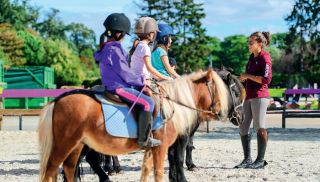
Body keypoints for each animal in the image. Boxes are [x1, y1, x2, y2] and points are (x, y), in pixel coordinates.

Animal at [38, 69, 229, 181]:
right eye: (217, 89)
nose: (221, 112)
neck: (171, 105)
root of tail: (58, 99)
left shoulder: (151, 148)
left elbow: (146, 171)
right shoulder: (161, 148)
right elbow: (159, 172)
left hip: (77, 146)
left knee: (69, 168)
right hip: (65, 145)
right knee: (51, 169)